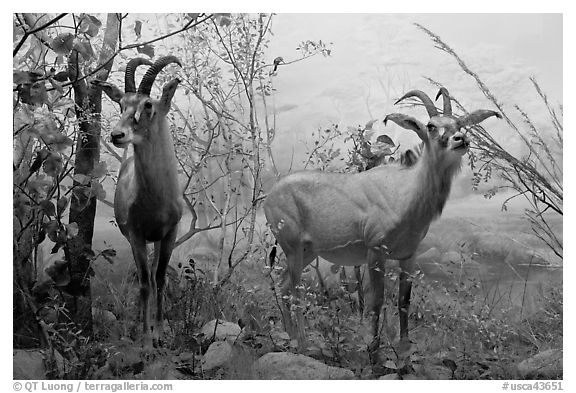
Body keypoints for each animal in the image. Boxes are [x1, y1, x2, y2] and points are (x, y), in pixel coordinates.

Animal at [92, 56, 183, 346]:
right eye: (122, 103)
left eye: (148, 104)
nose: (117, 135)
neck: (156, 199)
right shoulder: (136, 235)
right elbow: (143, 283)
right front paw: (145, 338)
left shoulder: (169, 233)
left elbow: (161, 279)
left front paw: (160, 333)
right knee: (147, 280)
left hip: (158, 240)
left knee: (155, 278)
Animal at [264, 87, 500, 356]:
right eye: (431, 126)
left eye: (459, 123)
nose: (460, 139)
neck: (404, 192)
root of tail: (269, 197)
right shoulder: (375, 252)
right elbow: (376, 301)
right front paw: (373, 349)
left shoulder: (408, 255)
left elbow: (404, 301)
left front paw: (405, 349)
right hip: (292, 247)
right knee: (294, 292)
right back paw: (302, 344)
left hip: (308, 252)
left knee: (283, 286)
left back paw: (289, 337)